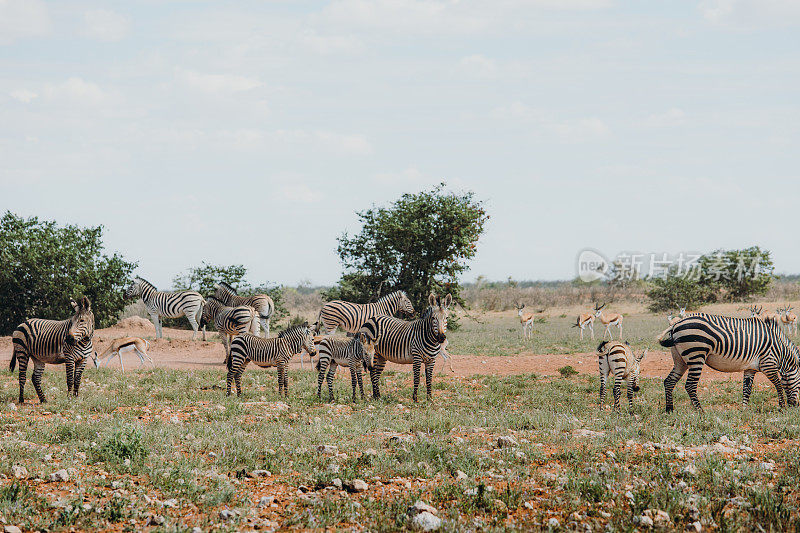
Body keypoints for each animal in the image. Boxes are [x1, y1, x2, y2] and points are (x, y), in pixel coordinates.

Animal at [660, 312, 796, 412]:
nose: (795, 406)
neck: (780, 352)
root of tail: (676, 324)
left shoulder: (750, 369)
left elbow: (747, 389)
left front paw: (744, 410)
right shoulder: (768, 365)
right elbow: (779, 385)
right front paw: (782, 407)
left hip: (680, 360)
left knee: (669, 381)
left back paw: (669, 409)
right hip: (696, 355)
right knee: (690, 385)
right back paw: (700, 411)